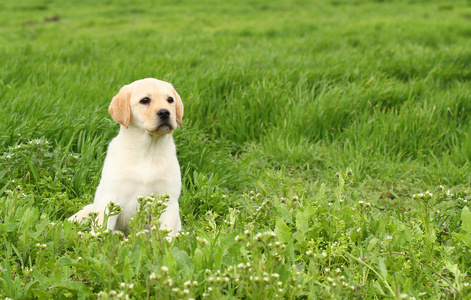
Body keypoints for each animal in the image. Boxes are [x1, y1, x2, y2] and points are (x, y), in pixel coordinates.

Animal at [70, 78, 184, 240]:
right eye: (145, 100)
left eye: (170, 100)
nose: (165, 112)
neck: (148, 150)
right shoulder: (110, 198)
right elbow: (104, 229)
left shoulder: (169, 201)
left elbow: (167, 234)